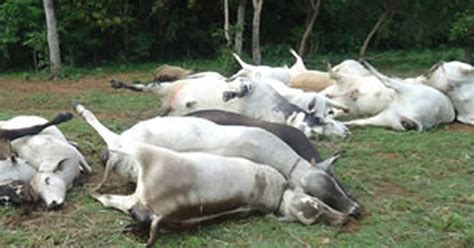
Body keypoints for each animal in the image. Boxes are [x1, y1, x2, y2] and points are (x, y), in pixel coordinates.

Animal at [90, 140, 348, 247]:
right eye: (315, 203)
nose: (344, 219)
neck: (276, 193)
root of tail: (163, 214)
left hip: (145, 158)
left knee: (108, 194)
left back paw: (96, 189)